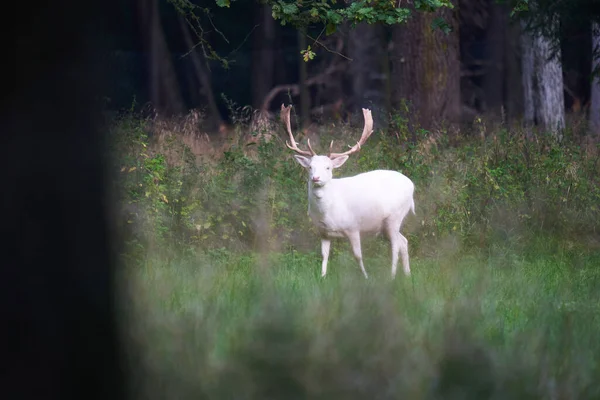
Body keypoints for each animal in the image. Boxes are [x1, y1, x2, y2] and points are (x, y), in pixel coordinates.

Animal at [282, 104, 418, 278]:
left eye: (328, 167)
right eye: (310, 167)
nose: (316, 178)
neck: (327, 212)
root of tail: (411, 185)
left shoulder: (353, 227)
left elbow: (358, 255)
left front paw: (366, 277)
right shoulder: (323, 231)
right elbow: (324, 255)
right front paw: (322, 277)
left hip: (395, 216)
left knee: (395, 246)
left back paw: (392, 276)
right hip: (385, 225)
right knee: (403, 241)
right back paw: (407, 274)